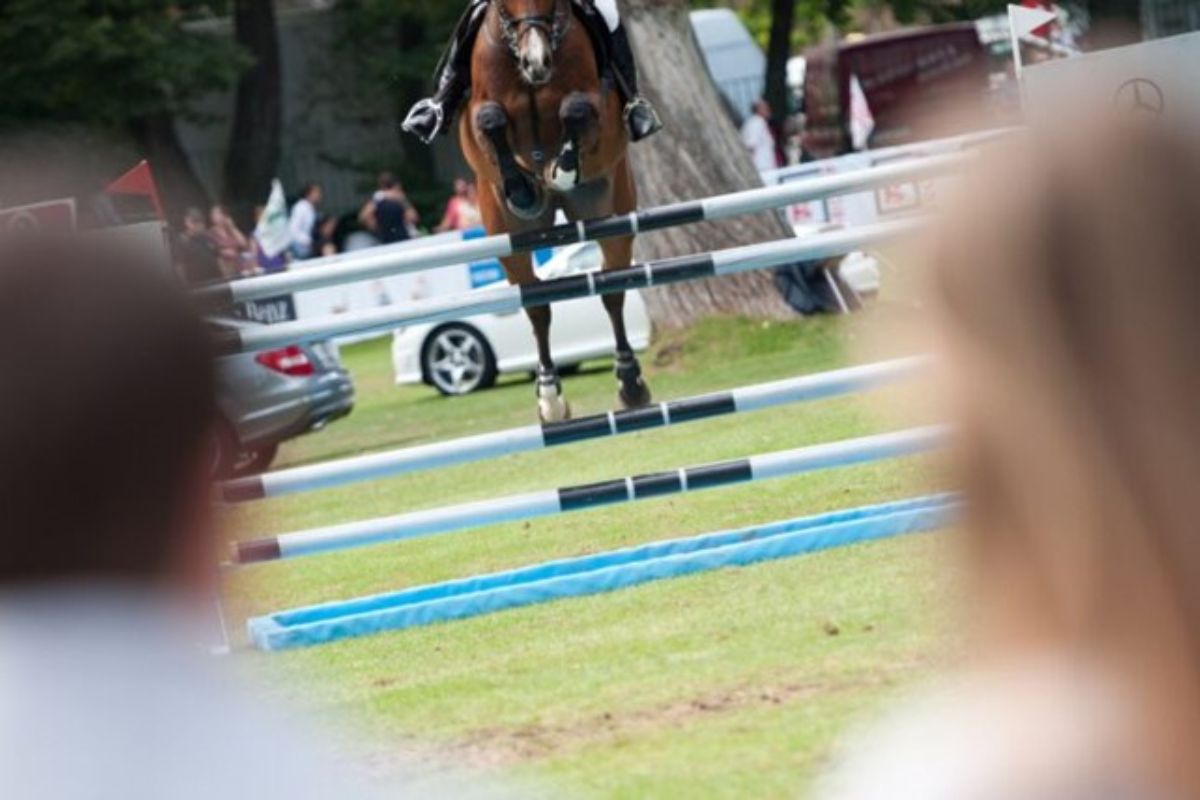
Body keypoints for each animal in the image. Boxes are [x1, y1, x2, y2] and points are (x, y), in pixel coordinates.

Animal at [460, 0, 652, 424]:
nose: (537, 63)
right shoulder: (480, 114)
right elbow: (490, 118)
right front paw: (521, 188)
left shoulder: (597, 108)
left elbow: (575, 108)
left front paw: (562, 169)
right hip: (508, 238)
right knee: (536, 306)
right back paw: (549, 397)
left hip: (613, 217)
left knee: (612, 291)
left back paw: (631, 385)